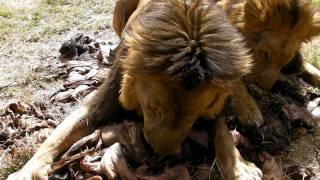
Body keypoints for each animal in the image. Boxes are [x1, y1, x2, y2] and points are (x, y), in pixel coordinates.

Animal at [7, 0, 262, 180]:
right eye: (154, 109)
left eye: (193, 118)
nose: (164, 156)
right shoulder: (102, 102)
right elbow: (56, 137)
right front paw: (26, 172)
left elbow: (222, 132)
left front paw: (240, 168)